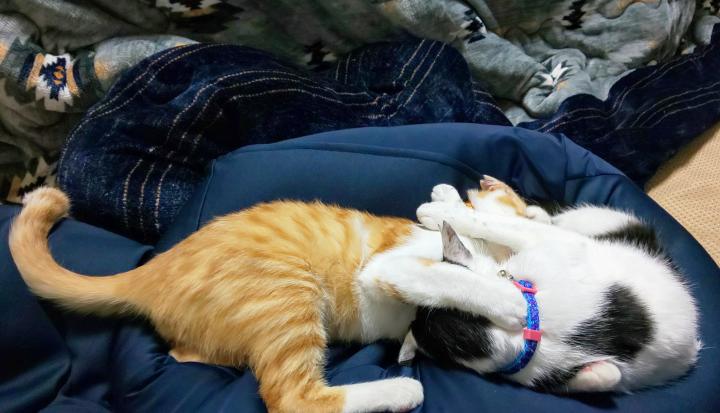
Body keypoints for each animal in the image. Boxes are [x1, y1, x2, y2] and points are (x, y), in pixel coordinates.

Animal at [9, 180, 536, 413]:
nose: (536, 213)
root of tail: (151, 270)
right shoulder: (388, 266)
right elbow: (454, 278)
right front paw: (507, 300)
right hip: (287, 294)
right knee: (293, 399)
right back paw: (401, 391)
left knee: (190, 356)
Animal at [400, 182, 701, 393]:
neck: (531, 327)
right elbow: (608, 375)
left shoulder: (557, 245)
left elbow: (496, 224)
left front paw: (441, 211)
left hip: (598, 219)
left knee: (529, 220)